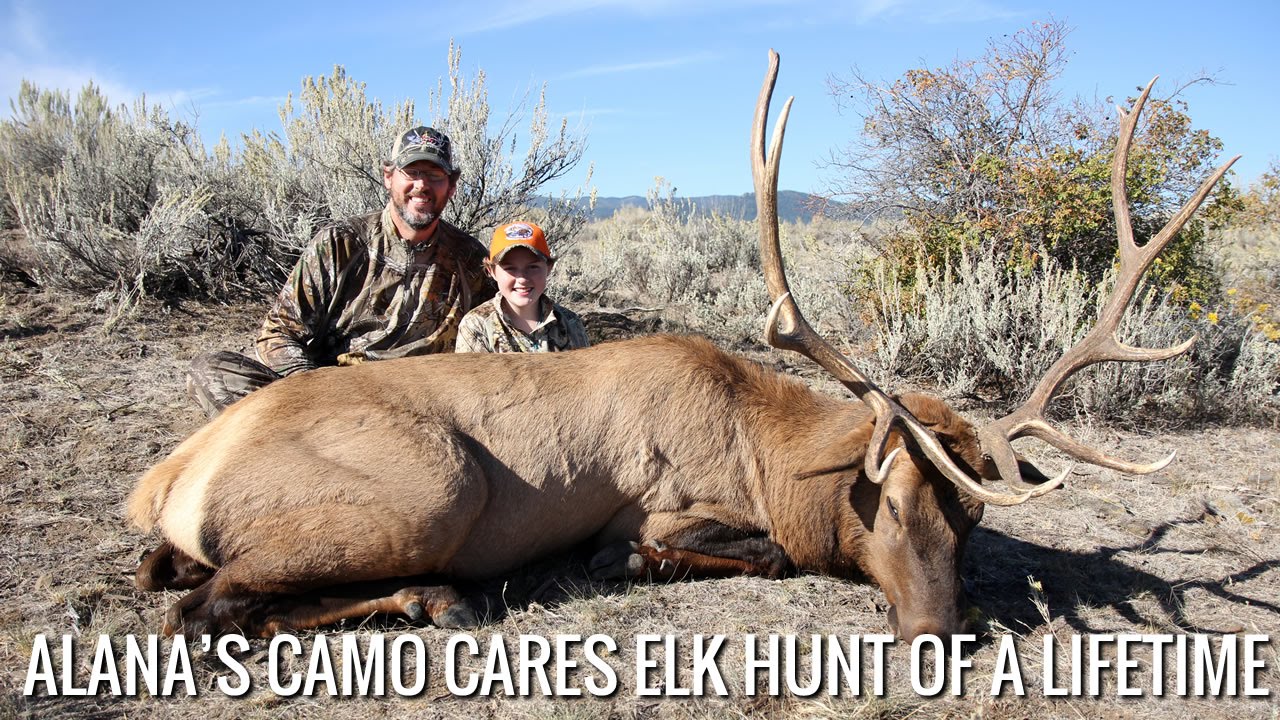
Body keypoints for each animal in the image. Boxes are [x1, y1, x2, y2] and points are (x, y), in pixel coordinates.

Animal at [127, 51, 1235, 642]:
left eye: (969, 514)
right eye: (886, 500)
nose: (937, 630)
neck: (769, 452)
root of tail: (169, 479)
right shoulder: (664, 501)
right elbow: (740, 550)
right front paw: (623, 560)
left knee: (175, 582)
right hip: (435, 485)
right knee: (205, 606)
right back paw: (437, 593)